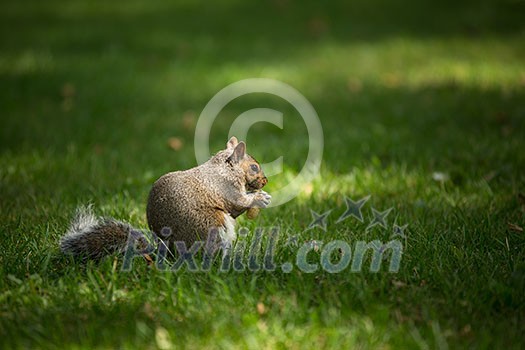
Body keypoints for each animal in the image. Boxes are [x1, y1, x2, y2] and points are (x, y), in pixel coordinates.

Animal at [58, 137, 268, 260]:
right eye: (254, 167)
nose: (265, 181)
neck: (227, 167)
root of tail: (169, 252)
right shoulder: (228, 188)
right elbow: (239, 203)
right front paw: (260, 198)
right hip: (212, 227)